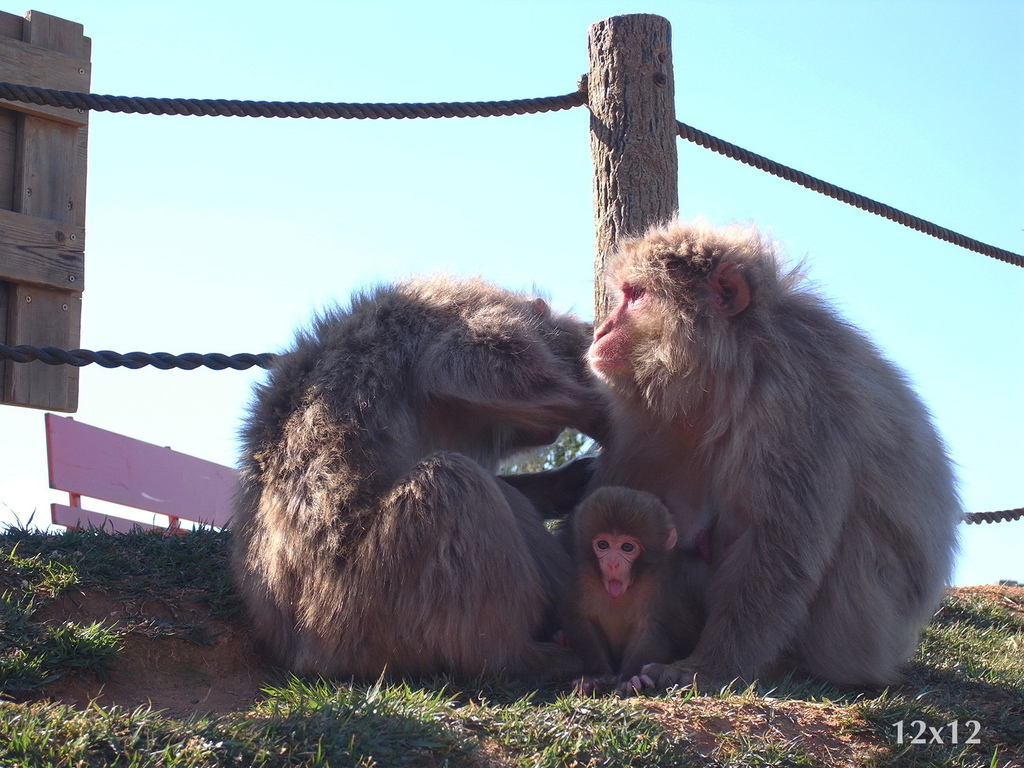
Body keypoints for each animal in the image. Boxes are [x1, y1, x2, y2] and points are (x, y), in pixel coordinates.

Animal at [561, 489, 696, 700]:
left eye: (627, 547)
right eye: (603, 544)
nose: (612, 563)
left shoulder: (657, 585)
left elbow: (649, 628)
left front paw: (629, 679)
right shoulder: (584, 578)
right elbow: (582, 620)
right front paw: (595, 676)